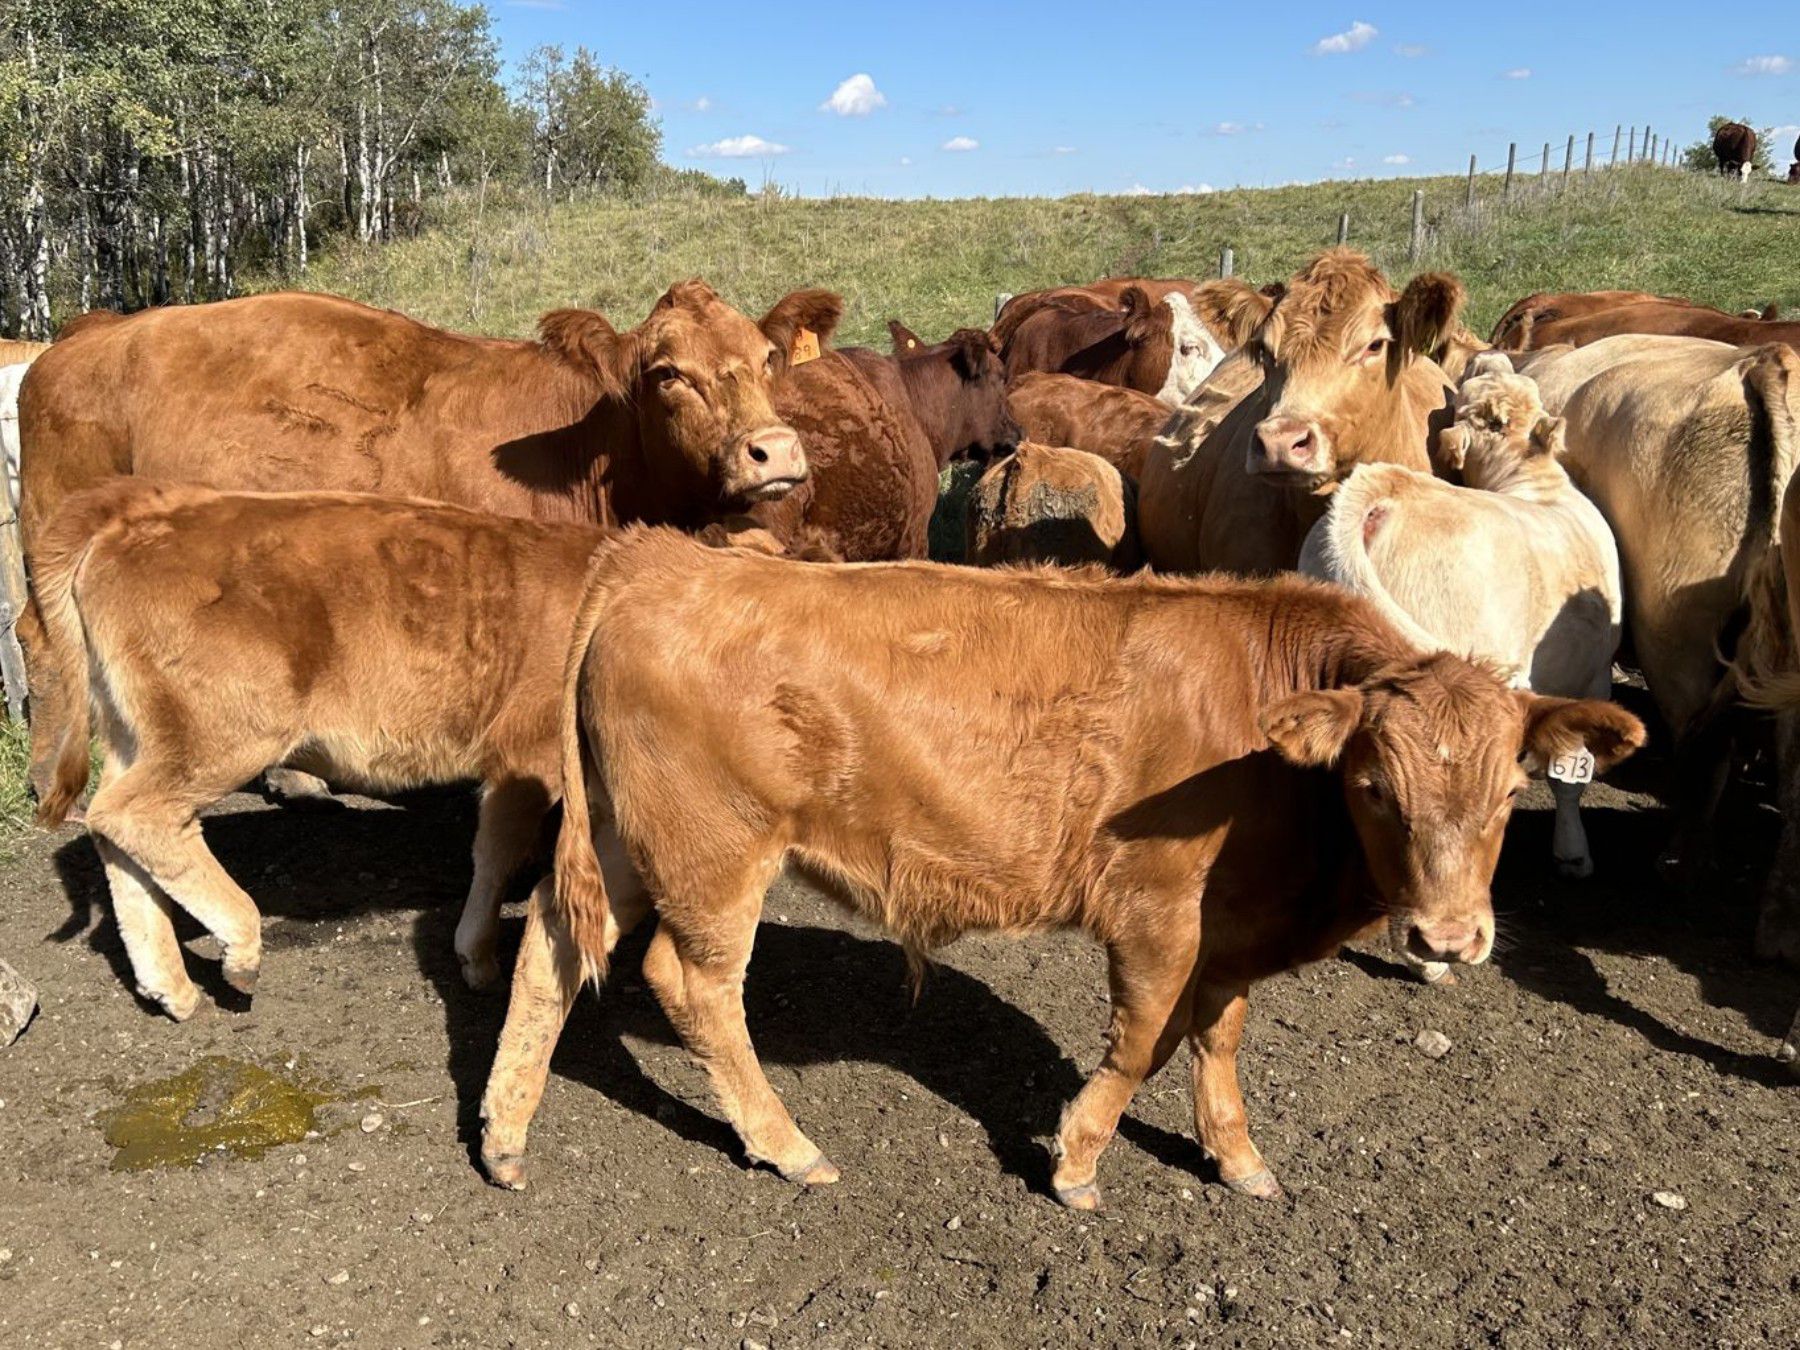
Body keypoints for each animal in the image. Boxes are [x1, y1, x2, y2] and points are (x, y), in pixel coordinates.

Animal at [16, 279, 838, 796]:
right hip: (48, 528)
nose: (774, 451)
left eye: (767, 357)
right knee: (38, 635)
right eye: (668, 373)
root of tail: (89, 332)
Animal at [29, 479, 627, 1008]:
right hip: (225, 731)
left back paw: (169, 987)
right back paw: (240, 947)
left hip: (134, 731)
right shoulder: (528, 756)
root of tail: (142, 505)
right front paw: (478, 960)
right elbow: (497, 855)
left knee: (111, 830)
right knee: (134, 814)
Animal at [475, 529, 1642, 1206]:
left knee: (551, 947)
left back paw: (504, 1133)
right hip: (716, 852)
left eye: (1506, 792)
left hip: (623, 837)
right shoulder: (1157, 914)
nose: (1450, 936)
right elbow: (1141, 1044)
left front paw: (1237, 1158)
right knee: (693, 983)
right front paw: (1077, 1162)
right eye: (1373, 786)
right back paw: (785, 1143)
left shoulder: (1234, 931)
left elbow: (1216, 1042)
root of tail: (664, 559)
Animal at [1301, 365, 1624, 887]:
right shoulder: (1594, 674)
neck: (1536, 483)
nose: (1490, 357)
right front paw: (1573, 852)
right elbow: (1569, 775)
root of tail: (1392, 490)